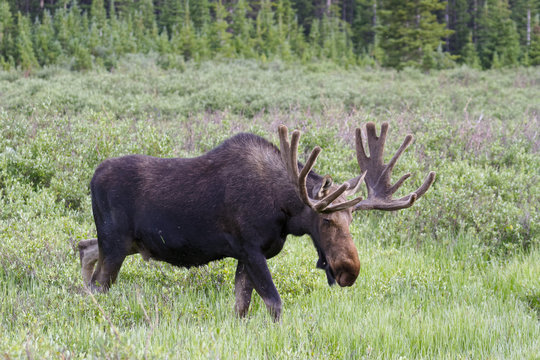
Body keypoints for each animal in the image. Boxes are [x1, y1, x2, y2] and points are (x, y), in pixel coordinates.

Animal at [79, 122, 434, 320]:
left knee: (84, 248)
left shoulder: (244, 255)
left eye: (351, 221)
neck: (285, 211)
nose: (350, 270)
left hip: (125, 244)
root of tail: (92, 177)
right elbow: (274, 305)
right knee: (98, 284)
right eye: (326, 222)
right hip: (116, 244)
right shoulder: (250, 249)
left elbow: (241, 307)